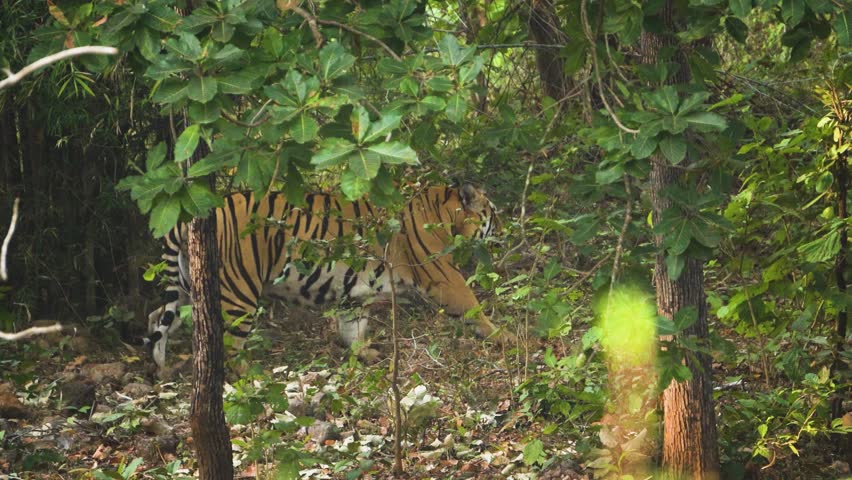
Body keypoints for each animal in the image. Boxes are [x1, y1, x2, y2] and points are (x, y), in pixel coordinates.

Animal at [144, 184, 510, 372]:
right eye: (493, 212)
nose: (505, 229)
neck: (441, 213)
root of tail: (188, 219)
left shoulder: (354, 294)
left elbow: (353, 329)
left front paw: (366, 355)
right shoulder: (444, 277)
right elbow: (474, 306)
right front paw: (505, 337)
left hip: (187, 287)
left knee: (157, 317)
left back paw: (160, 367)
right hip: (238, 292)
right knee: (231, 350)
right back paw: (251, 382)